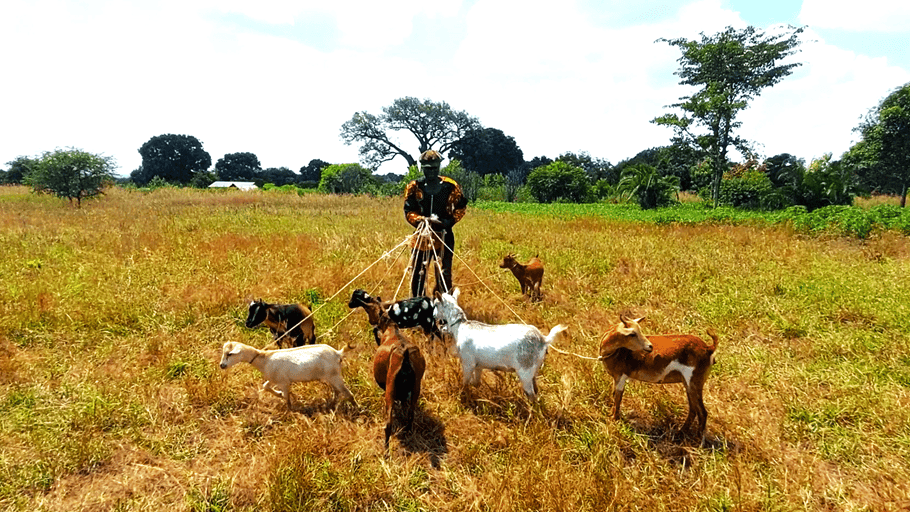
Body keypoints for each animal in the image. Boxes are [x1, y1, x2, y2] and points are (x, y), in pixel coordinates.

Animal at [219, 342, 358, 410]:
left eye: (230, 354)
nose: (221, 365)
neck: (264, 359)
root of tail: (338, 353)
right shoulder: (274, 378)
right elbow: (265, 386)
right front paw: (279, 394)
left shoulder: (283, 382)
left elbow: (286, 398)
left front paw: (289, 410)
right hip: (331, 376)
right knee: (338, 391)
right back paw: (331, 405)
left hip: (334, 376)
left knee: (348, 393)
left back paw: (357, 409)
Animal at [348, 290, 426, 446]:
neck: (391, 328)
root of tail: (405, 356)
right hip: (416, 388)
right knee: (411, 414)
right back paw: (407, 432)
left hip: (390, 387)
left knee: (388, 424)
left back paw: (386, 448)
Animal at [432, 290, 568, 402]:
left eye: (435, 304)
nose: (433, 316)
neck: (461, 326)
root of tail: (543, 339)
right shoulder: (478, 365)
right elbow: (475, 383)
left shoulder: (467, 362)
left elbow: (465, 383)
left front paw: (463, 395)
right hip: (534, 370)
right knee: (536, 390)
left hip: (525, 370)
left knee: (531, 394)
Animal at [600, 314, 720, 442]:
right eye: (632, 333)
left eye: (639, 330)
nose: (650, 346)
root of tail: (708, 348)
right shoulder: (616, 378)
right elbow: (614, 395)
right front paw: (611, 415)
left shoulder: (621, 376)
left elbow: (618, 398)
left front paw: (614, 419)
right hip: (689, 384)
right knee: (693, 409)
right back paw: (680, 433)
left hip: (694, 381)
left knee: (702, 412)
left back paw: (698, 441)